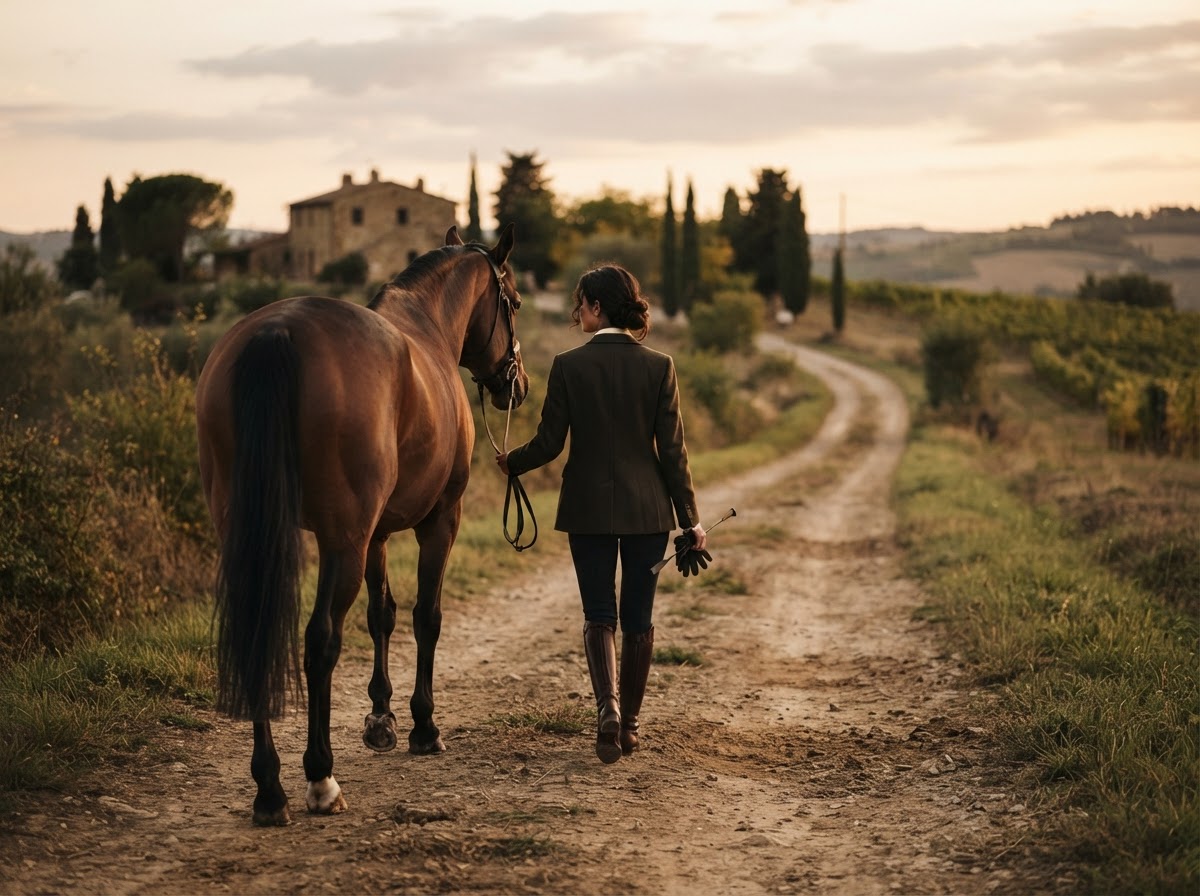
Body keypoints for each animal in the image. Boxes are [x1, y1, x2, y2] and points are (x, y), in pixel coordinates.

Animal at [195, 224, 528, 826]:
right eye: (513, 302)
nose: (517, 385)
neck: (427, 329)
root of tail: (277, 332)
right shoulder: (437, 521)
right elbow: (425, 616)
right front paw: (423, 725)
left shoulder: (376, 532)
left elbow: (382, 615)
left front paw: (380, 718)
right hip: (341, 542)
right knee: (320, 639)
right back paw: (319, 778)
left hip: (257, 531)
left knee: (261, 629)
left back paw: (269, 789)